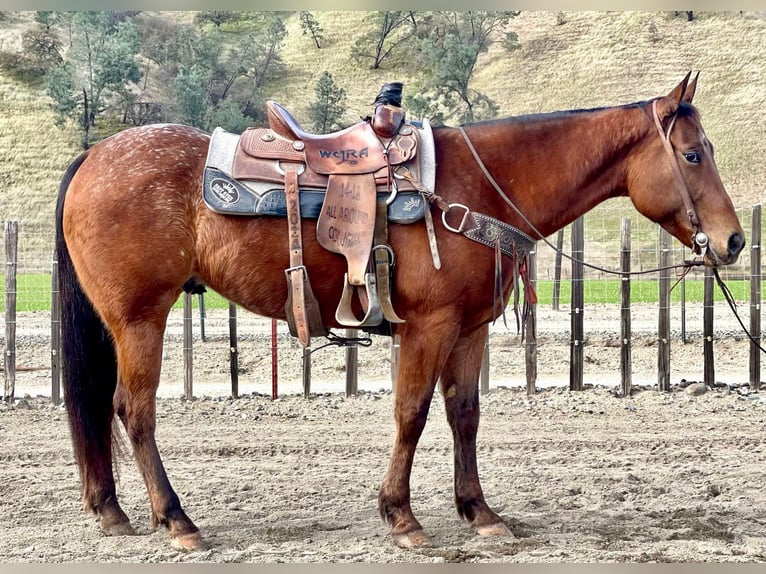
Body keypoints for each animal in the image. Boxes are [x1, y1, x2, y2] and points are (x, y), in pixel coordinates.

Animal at [57, 74, 748, 552]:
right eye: (692, 155)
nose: (735, 241)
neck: (481, 183)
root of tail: (94, 157)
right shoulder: (429, 327)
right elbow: (411, 414)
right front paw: (402, 517)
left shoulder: (469, 330)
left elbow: (464, 415)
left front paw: (480, 513)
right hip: (140, 319)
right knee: (133, 410)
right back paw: (177, 521)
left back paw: (112, 511)